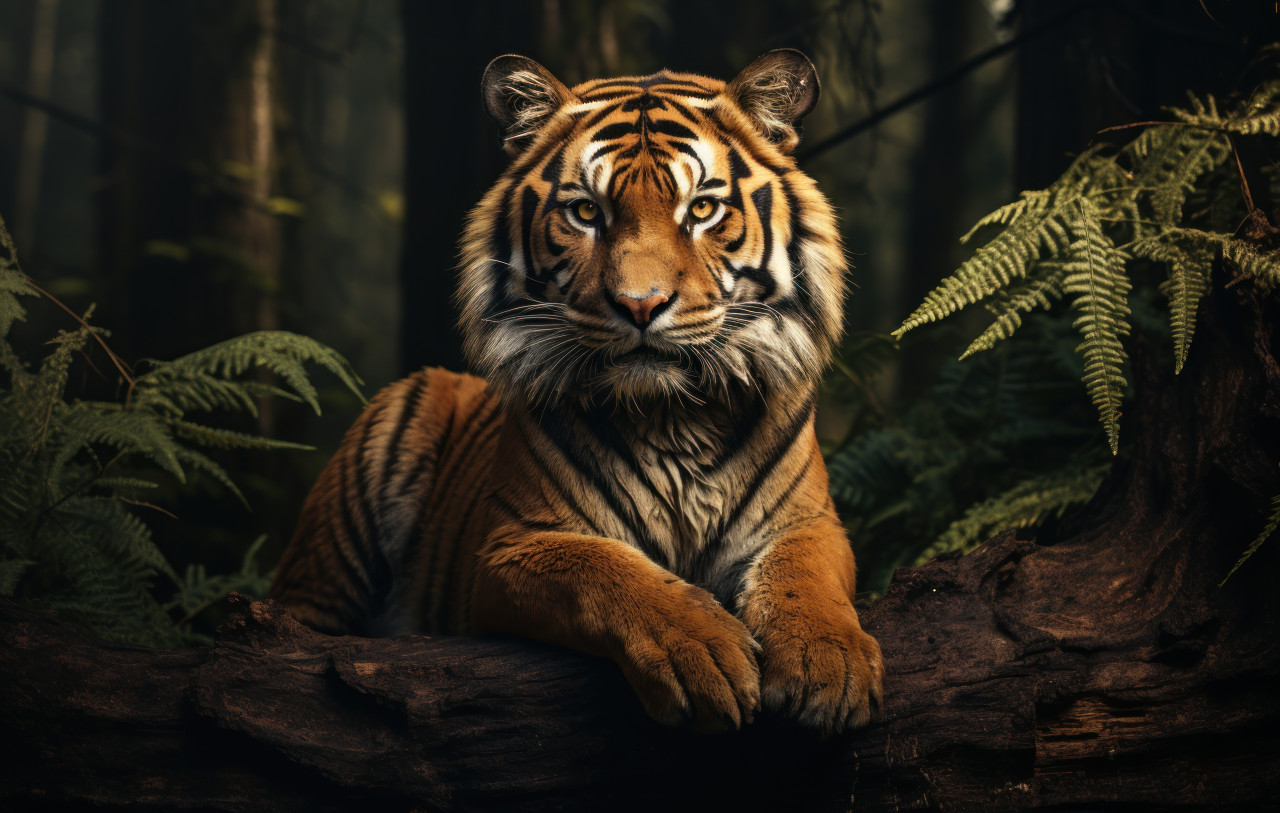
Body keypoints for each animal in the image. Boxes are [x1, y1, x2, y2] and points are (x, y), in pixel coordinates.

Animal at [271, 49, 884, 734]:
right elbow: (605, 572)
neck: (670, 415)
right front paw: (702, 652)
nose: (641, 305)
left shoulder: (809, 520)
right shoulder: (510, 548)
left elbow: (807, 578)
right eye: (587, 213)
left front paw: (827, 663)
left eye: (701, 209)